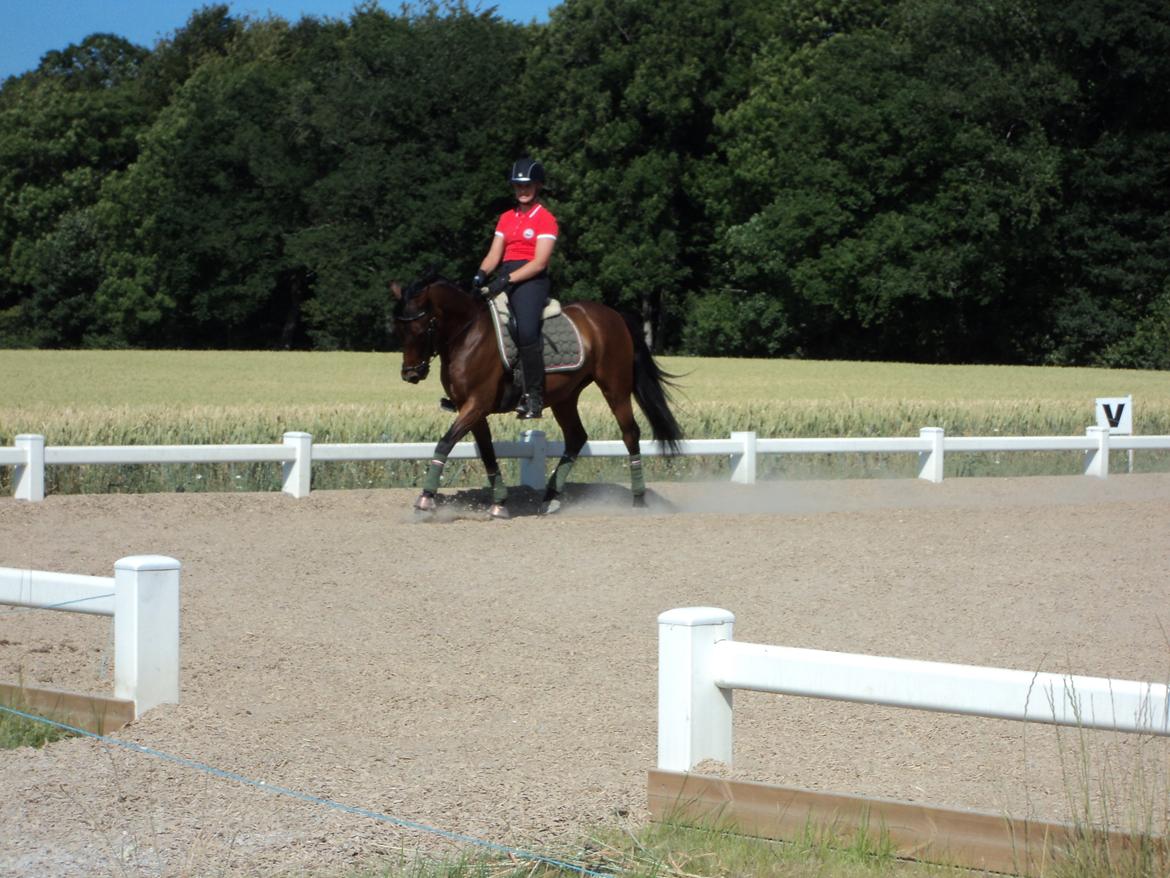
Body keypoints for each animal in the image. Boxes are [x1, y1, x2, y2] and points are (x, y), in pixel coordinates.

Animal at [393, 278, 683, 519]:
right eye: (400, 329)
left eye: (421, 329)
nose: (410, 374)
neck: (467, 335)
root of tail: (613, 315)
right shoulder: (473, 409)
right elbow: (487, 453)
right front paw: (499, 503)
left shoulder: (476, 404)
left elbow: (445, 443)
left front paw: (425, 500)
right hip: (565, 397)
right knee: (576, 437)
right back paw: (550, 498)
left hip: (615, 388)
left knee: (630, 433)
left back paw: (638, 500)